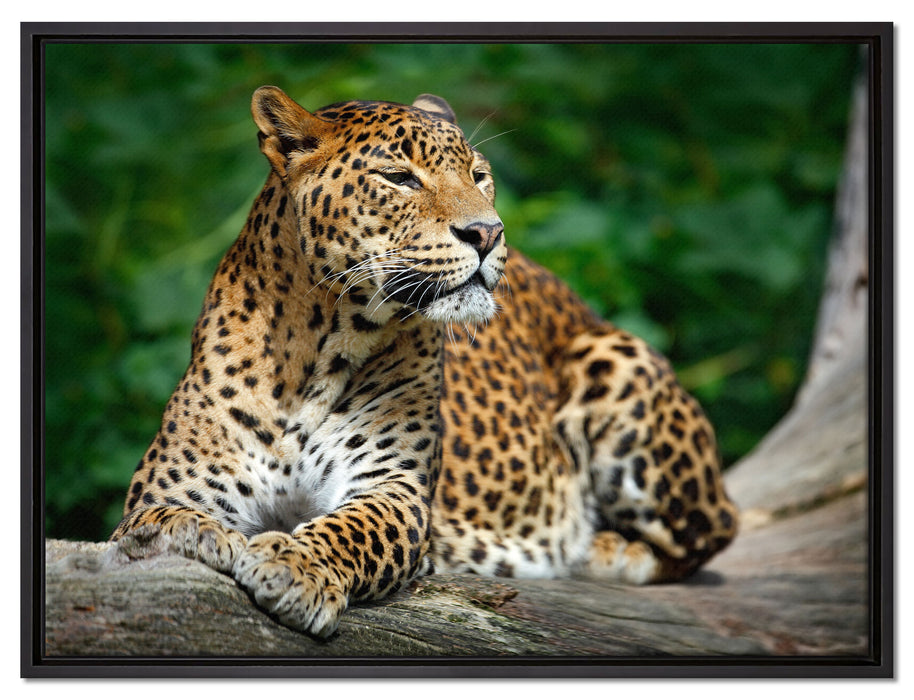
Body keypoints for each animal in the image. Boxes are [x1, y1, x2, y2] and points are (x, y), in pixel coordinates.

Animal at [112, 85, 738, 639]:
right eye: (400, 178)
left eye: (479, 176)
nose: (488, 232)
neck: (316, 349)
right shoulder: (170, 487)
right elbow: (156, 521)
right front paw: (197, 536)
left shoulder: (396, 489)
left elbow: (351, 529)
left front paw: (293, 565)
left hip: (617, 360)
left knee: (713, 530)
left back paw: (601, 547)